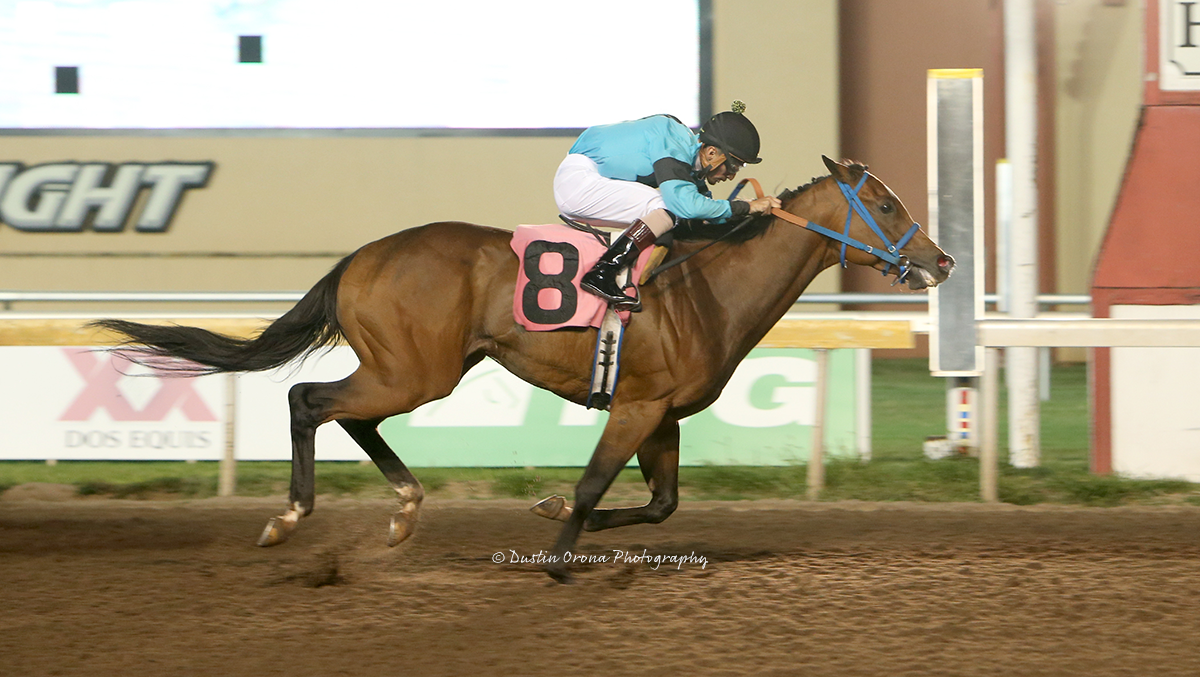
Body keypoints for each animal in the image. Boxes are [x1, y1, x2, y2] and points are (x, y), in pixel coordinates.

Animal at [94, 156, 954, 583]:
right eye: (884, 202)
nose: (942, 261)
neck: (710, 283)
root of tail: (360, 257)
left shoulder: (661, 413)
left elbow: (662, 504)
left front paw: (554, 515)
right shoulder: (635, 407)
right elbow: (596, 483)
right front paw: (558, 560)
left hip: (415, 368)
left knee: (352, 415)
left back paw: (404, 509)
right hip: (417, 371)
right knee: (309, 399)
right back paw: (290, 516)